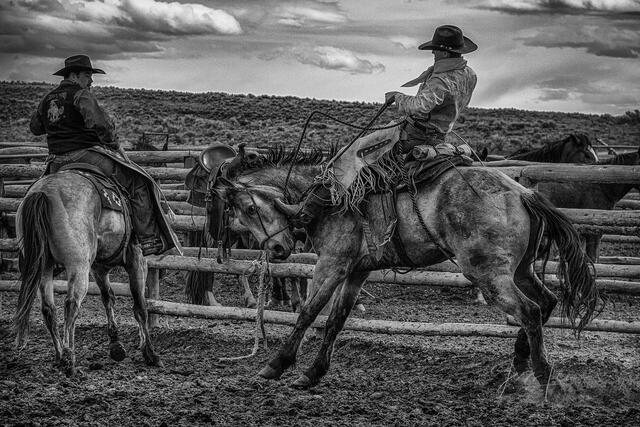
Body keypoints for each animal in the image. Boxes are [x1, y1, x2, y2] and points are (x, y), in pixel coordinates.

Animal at [14, 172, 161, 376]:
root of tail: (43, 192)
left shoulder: (98, 267)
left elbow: (108, 298)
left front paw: (116, 345)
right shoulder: (137, 260)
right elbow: (140, 307)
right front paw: (150, 354)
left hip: (45, 267)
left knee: (49, 309)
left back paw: (60, 356)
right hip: (78, 266)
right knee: (71, 305)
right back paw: (69, 359)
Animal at [214, 147, 600, 392]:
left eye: (250, 208)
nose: (277, 249)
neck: (328, 197)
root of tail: (522, 193)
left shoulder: (332, 263)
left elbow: (309, 313)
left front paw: (275, 365)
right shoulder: (357, 270)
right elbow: (336, 320)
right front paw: (312, 373)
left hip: (488, 274)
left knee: (529, 311)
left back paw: (542, 378)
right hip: (519, 270)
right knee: (545, 304)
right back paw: (516, 375)